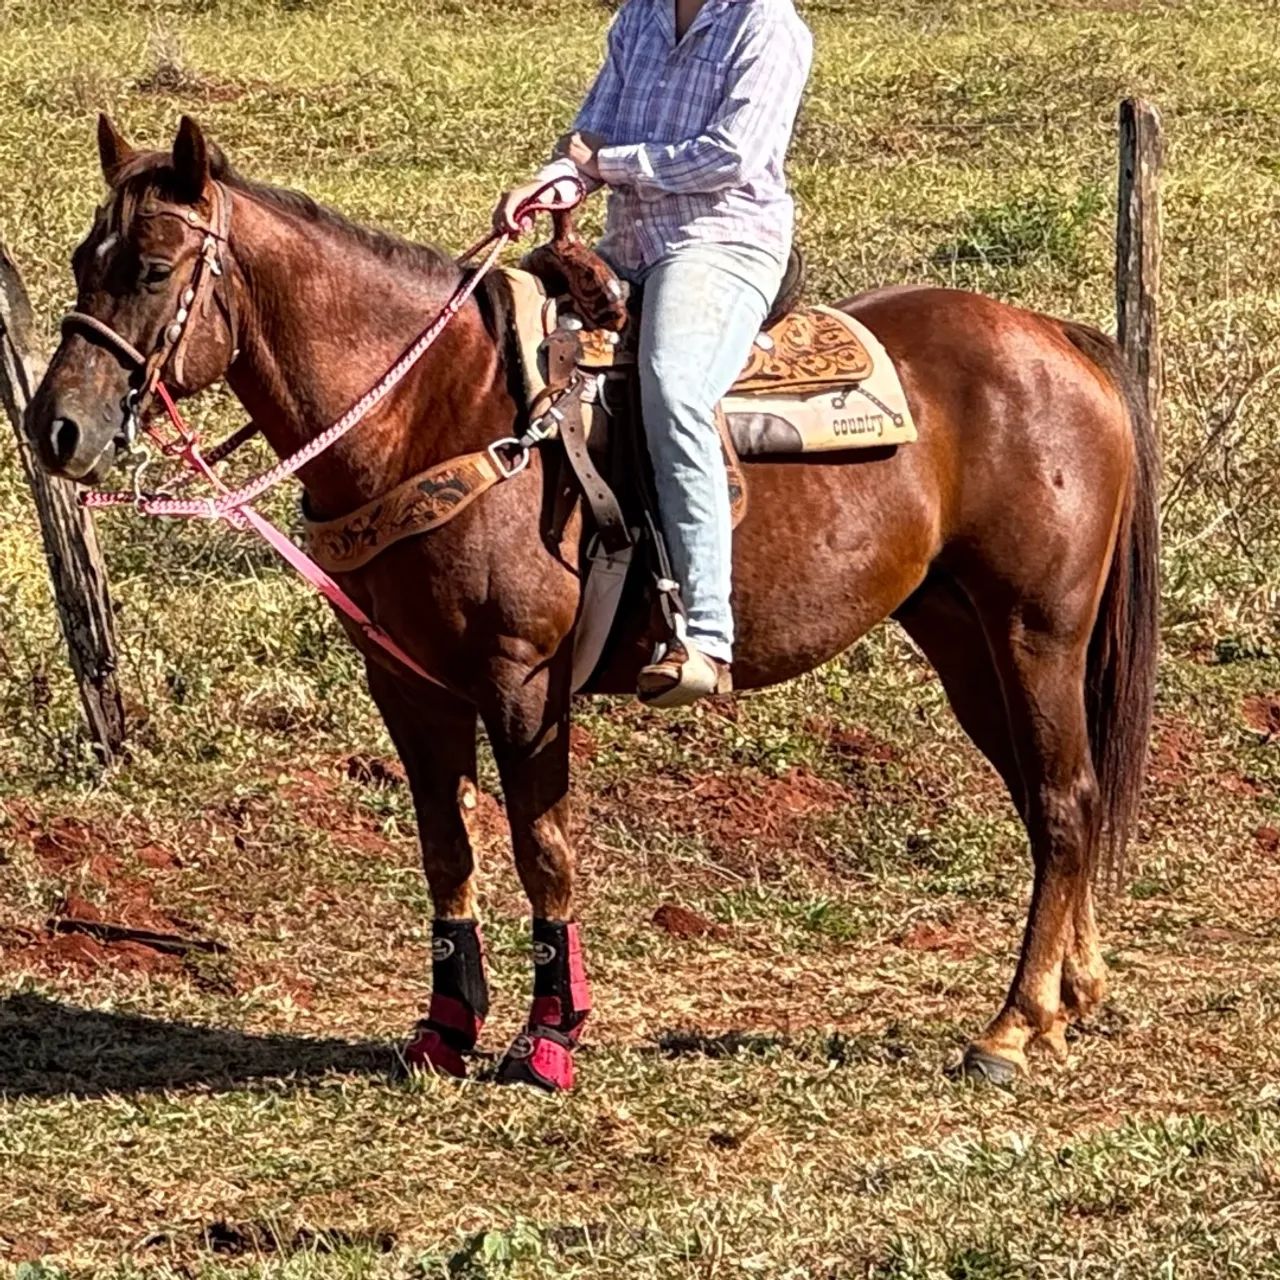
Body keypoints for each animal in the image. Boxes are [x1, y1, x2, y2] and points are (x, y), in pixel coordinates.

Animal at [26, 116, 1159, 1091]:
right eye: (85, 260)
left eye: (152, 268)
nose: (56, 431)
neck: (436, 410)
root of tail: (1058, 339)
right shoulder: (406, 681)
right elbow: (446, 845)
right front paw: (445, 1028)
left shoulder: (522, 679)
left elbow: (543, 849)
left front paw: (548, 1036)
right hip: (960, 632)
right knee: (1050, 796)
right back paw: (1069, 997)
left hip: (1035, 631)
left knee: (1064, 799)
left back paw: (1010, 1024)